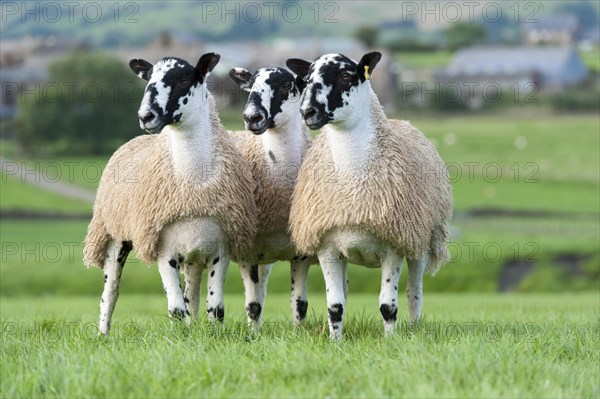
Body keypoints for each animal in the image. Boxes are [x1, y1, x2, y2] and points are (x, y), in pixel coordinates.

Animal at [82, 51, 258, 336]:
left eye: (184, 79)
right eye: (148, 79)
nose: (146, 116)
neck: (192, 185)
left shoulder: (221, 248)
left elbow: (215, 308)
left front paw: (213, 336)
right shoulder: (163, 248)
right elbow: (175, 309)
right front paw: (179, 339)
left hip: (194, 253)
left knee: (192, 295)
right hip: (113, 236)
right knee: (110, 291)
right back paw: (103, 334)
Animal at [227, 65, 316, 328]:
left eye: (287, 84)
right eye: (251, 86)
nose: (252, 117)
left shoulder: (301, 251)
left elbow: (300, 304)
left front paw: (298, 332)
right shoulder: (247, 252)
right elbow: (252, 306)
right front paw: (253, 334)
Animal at [288, 52, 452, 340]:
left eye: (346, 75)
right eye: (306, 79)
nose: (307, 112)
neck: (355, 187)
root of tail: (403, 122)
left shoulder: (393, 246)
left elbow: (388, 306)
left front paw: (390, 341)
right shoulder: (327, 247)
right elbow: (335, 305)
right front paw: (335, 342)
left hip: (418, 239)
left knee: (414, 293)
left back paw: (414, 329)